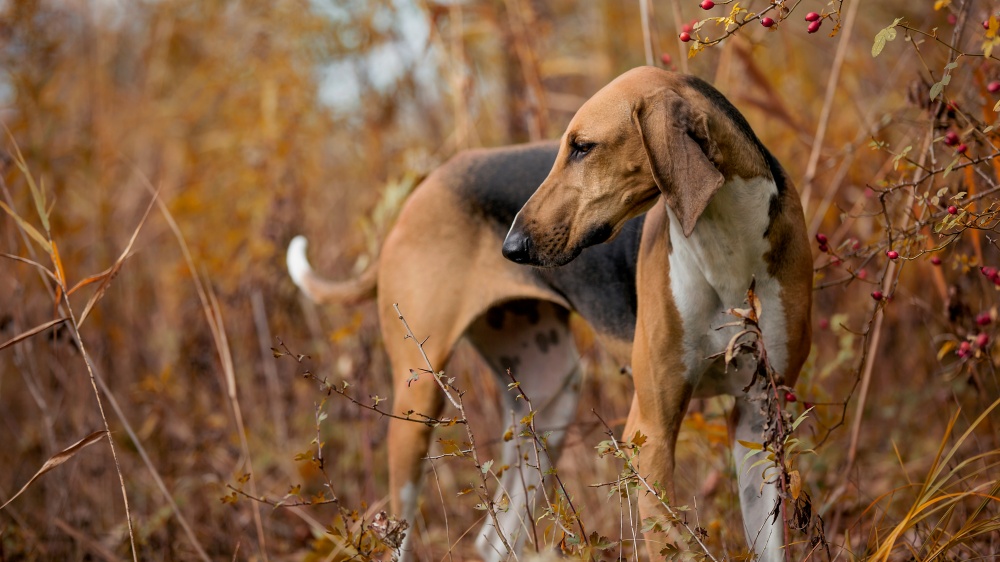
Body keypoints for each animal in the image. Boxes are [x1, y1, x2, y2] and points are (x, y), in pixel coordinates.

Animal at [508, 64, 812, 556]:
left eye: (582, 147)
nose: (511, 247)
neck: (726, 250)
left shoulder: (758, 415)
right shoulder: (648, 433)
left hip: (547, 406)